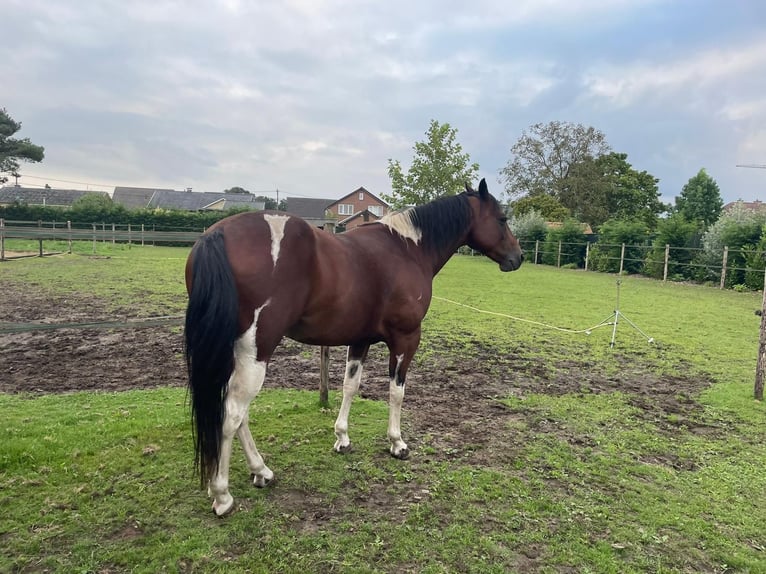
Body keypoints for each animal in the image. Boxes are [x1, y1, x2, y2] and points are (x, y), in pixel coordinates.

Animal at [183, 178, 524, 516]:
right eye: (502, 218)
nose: (517, 257)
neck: (409, 249)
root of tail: (215, 235)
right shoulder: (406, 338)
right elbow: (396, 392)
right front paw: (397, 443)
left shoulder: (360, 340)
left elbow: (350, 386)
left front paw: (342, 438)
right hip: (257, 351)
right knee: (233, 413)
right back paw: (222, 495)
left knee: (237, 412)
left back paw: (260, 471)